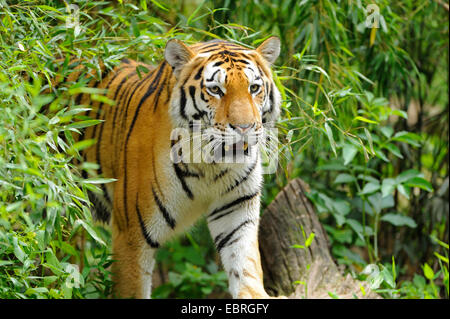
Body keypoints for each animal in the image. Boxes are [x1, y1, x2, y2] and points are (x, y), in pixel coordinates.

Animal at [62, 37, 284, 300]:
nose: (245, 128)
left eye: (254, 88)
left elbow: (246, 269)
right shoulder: (132, 235)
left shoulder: (236, 211)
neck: (212, 164)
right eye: (215, 90)